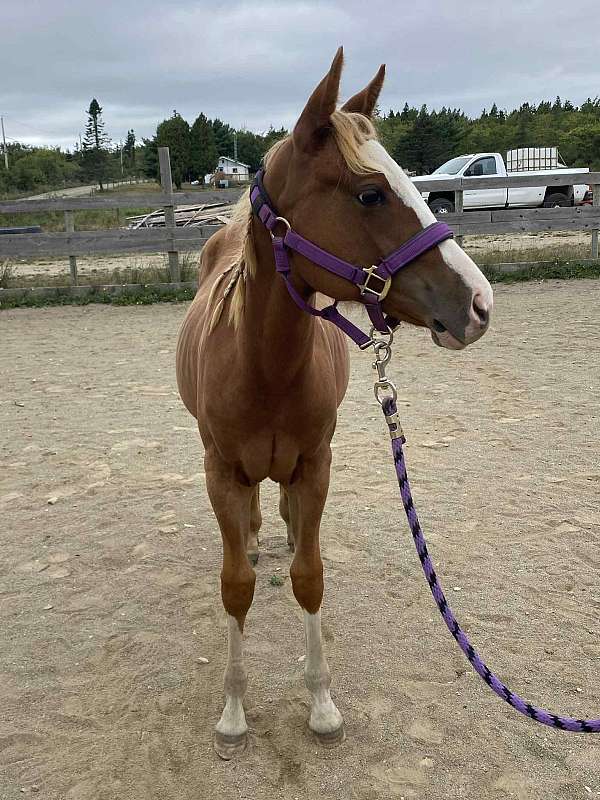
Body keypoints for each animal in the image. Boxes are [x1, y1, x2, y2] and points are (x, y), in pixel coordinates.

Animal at [176, 47, 493, 759]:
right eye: (370, 193)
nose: (480, 303)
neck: (264, 367)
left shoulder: (316, 464)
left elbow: (310, 576)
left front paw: (322, 705)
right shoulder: (220, 472)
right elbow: (235, 586)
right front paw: (233, 714)